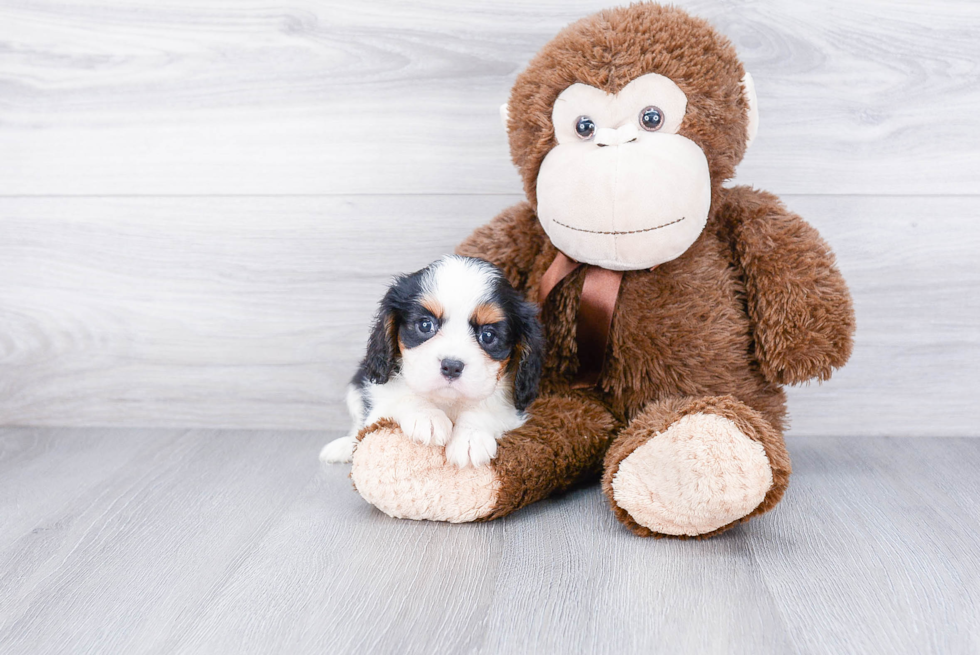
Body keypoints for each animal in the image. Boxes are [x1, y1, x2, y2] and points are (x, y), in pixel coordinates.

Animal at [320, 255, 544, 466]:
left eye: (488, 336)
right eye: (425, 325)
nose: (452, 366)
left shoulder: (511, 410)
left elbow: (487, 408)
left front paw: (471, 436)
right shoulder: (379, 407)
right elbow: (402, 397)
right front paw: (427, 416)